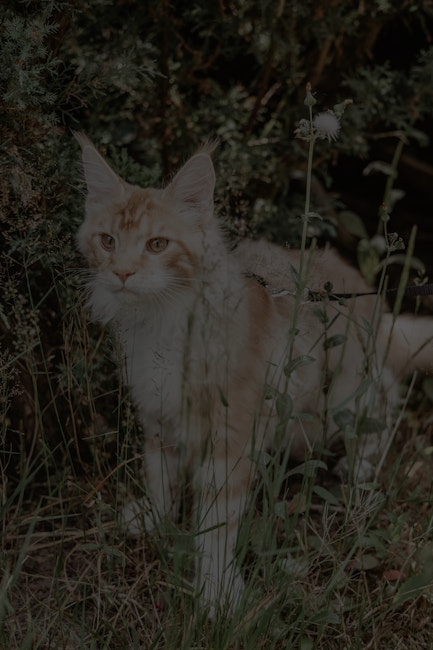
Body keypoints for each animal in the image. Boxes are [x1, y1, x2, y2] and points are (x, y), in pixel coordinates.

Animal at [75, 133, 433, 615]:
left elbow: (216, 526)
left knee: (384, 396)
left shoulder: (231, 439)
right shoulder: (159, 416)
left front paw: (217, 593)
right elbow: (159, 478)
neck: (164, 320)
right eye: (109, 241)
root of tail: (361, 285)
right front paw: (154, 519)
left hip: (341, 390)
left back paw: (361, 463)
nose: (123, 273)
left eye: (157, 245)